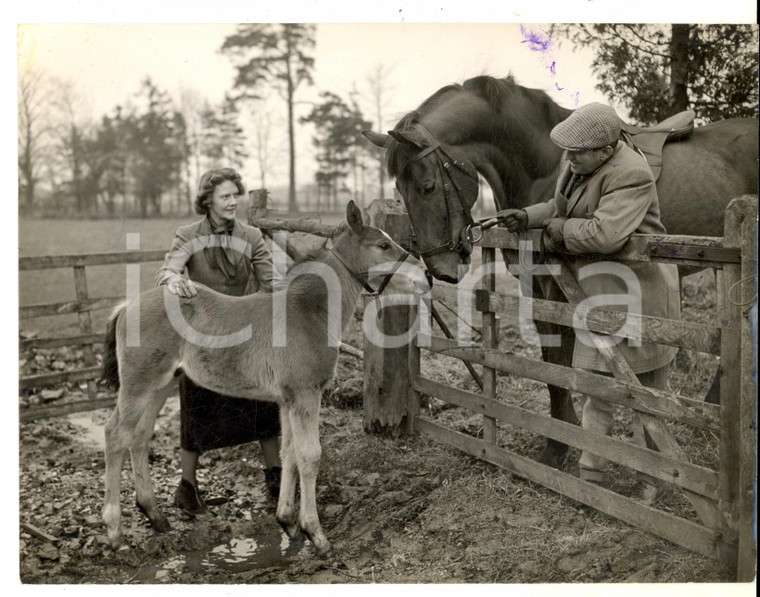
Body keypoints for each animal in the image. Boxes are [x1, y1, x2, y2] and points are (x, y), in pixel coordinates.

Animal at [98, 203, 428, 556]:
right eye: (383, 245)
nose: (425, 277)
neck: (308, 311)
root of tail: (125, 306)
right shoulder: (306, 394)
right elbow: (310, 456)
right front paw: (316, 534)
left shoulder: (288, 400)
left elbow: (289, 454)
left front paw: (287, 522)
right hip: (139, 384)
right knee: (115, 434)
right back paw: (114, 531)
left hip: (160, 385)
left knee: (139, 436)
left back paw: (155, 515)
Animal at [366, 74, 756, 464]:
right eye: (400, 190)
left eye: (427, 186)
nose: (440, 266)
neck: (545, 165)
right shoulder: (535, 287)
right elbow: (550, 362)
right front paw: (562, 430)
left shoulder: (561, 289)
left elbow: (560, 362)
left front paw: (559, 446)